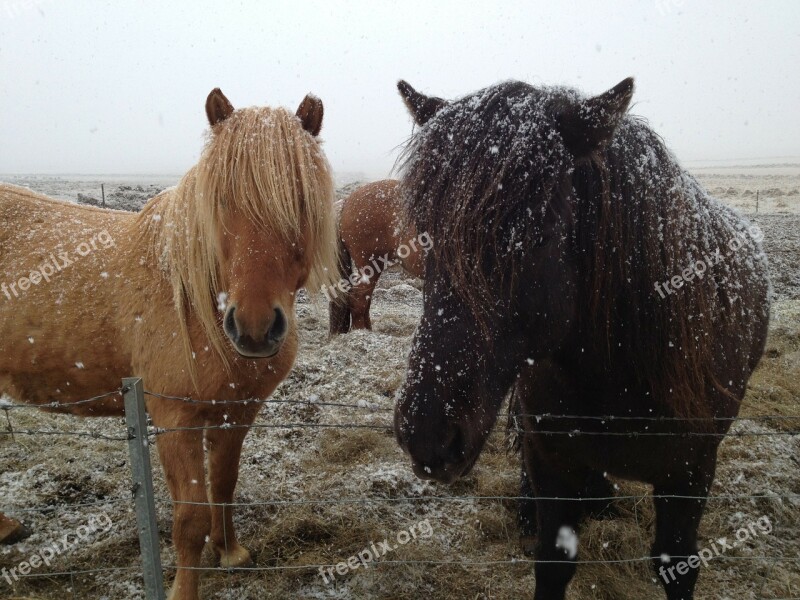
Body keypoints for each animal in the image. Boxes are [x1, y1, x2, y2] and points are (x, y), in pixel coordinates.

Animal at [0, 89, 338, 600]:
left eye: (299, 200)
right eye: (221, 200)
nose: (255, 329)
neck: (195, 304)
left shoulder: (235, 411)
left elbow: (225, 483)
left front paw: (230, 551)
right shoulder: (174, 419)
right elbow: (189, 519)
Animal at [394, 78, 768, 600]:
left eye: (538, 235)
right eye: (426, 235)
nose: (426, 436)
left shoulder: (691, 475)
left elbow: (678, 564)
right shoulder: (551, 460)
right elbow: (553, 562)